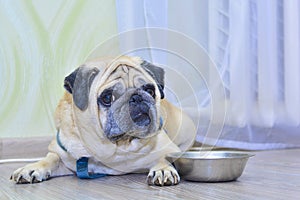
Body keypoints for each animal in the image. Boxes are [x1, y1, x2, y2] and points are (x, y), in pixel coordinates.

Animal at [10, 55, 196, 186]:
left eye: (150, 91)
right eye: (107, 98)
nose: (137, 97)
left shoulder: (168, 148)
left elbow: (163, 157)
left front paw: (163, 169)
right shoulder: (61, 154)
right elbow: (50, 159)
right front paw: (31, 168)